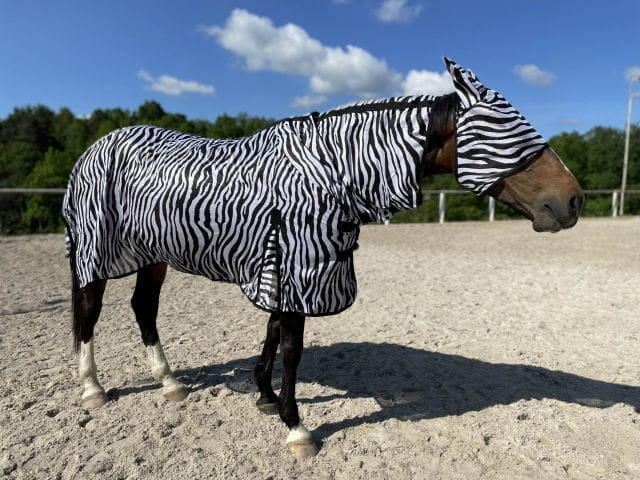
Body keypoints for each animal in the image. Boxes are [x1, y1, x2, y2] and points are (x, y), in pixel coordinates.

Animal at [62, 58, 583, 457]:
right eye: (511, 132)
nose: (572, 200)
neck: (328, 172)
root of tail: (93, 148)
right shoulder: (294, 266)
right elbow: (292, 348)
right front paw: (296, 428)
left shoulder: (283, 270)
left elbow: (273, 333)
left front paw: (266, 396)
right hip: (96, 252)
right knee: (90, 311)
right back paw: (92, 389)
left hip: (153, 255)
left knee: (143, 308)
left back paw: (169, 382)